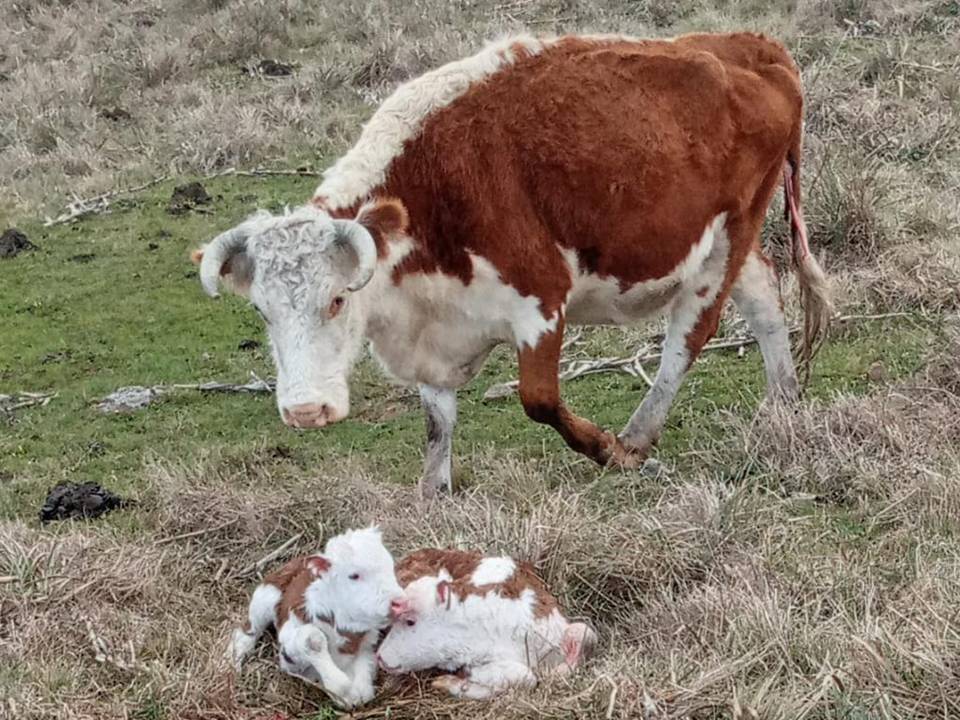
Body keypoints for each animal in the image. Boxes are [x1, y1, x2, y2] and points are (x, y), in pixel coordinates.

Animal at [193, 32, 832, 498]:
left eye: (337, 298)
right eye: (263, 312)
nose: (305, 411)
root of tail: (750, 45)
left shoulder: (540, 301)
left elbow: (539, 400)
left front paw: (601, 448)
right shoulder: (436, 340)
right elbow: (437, 423)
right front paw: (433, 495)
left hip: (726, 239)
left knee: (687, 340)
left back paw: (635, 437)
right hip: (729, 240)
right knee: (764, 298)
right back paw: (783, 405)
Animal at [230, 527, 403, 709]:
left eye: (390, 565)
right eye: (354, 575)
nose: (399, 603)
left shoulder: (368, 645)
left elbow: (365, 687)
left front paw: (352, 696)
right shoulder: (288, 658)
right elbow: (311, 637)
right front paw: (339, 687)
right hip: (265, 595)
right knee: (246, 632)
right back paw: (232, 664)